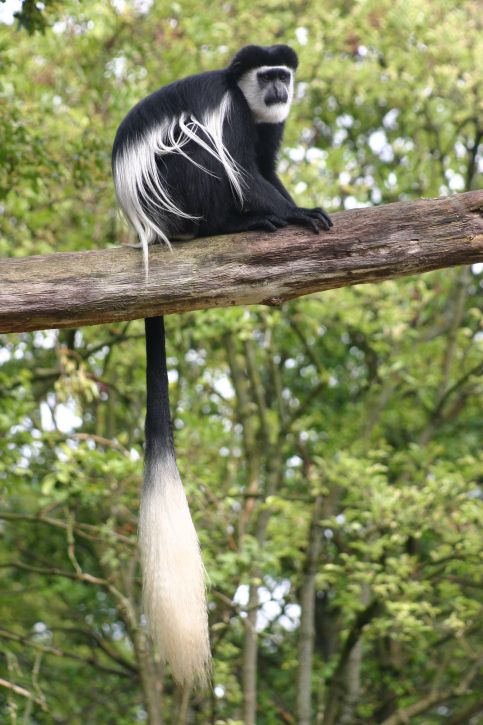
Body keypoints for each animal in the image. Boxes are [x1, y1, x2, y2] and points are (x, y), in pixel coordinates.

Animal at [112, 44, 332, 687]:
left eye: (284, 76)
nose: (280, 88)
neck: (251, 100)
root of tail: (147, 227)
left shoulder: (269, 123)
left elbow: (266, 162)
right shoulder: (229, 109)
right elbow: (242, 167)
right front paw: (297, 213)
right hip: (175, 188)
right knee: (198, 153)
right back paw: (243, 223)